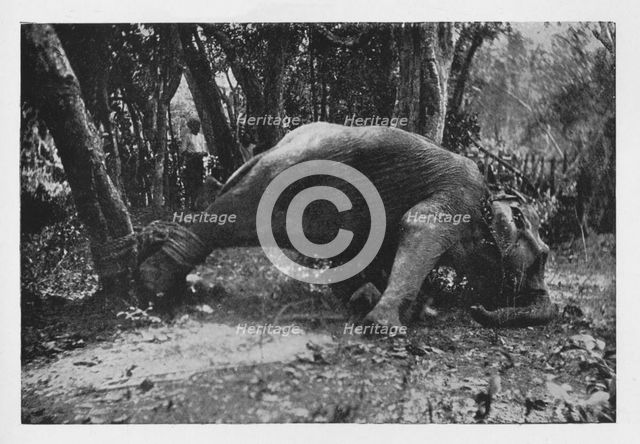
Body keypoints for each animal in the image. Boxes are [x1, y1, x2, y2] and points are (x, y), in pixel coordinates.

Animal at [137, 122, 557, 328]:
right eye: (543, 256)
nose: (478, 311)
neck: (491, 191)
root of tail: (267, 151)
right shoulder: (460, 196)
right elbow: (416, 227)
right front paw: (385, 325)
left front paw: (377, 303)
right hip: (289, 177)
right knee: (234, 218)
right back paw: (153, 283)